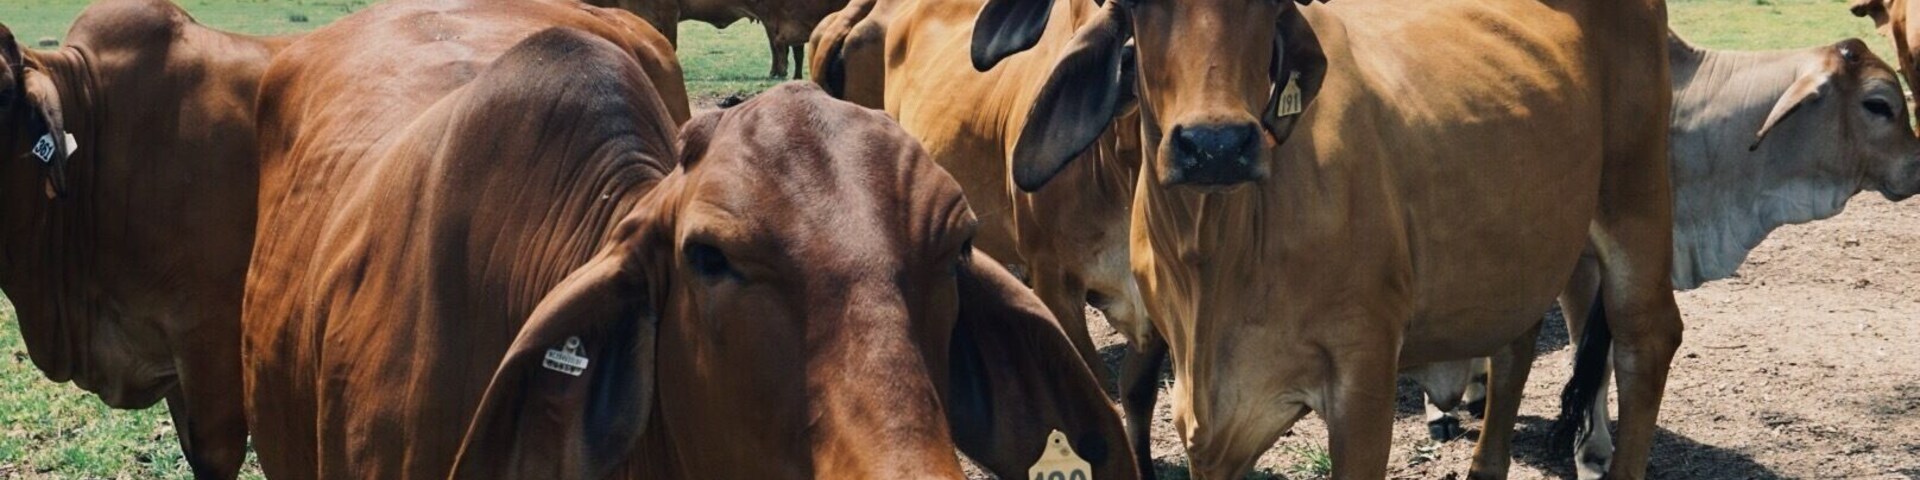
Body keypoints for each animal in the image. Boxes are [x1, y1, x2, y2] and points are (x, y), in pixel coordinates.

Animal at [971, 0, 1683, 478]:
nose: (1215, 145)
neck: (1215, 257)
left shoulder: (1363, 373)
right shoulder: (1203, 410)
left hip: (1639, 200)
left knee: (1647, 341)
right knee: (1516, 344)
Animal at [1410, 33, 1920, 475]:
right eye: (1879, 105)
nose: (1916, 169)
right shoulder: (1579, 264)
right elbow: (1587, 357)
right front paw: (1592, 453)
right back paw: (1441, 410)